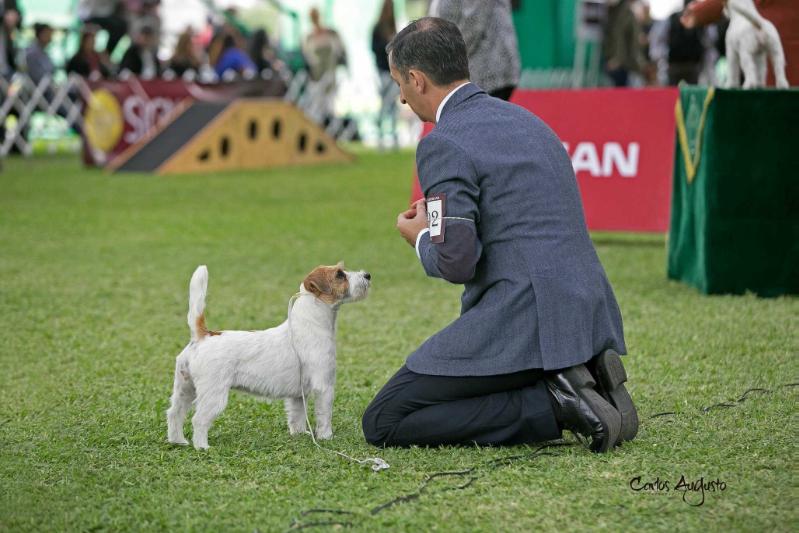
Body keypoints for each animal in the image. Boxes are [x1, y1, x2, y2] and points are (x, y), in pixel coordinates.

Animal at [168, 262, 372, 448]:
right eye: (340, 275)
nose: (367, 275)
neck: (310, 323)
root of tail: (202, 336)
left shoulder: (298, 395)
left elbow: (297, 416)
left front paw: (299, 434)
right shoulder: (324, 386)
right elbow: (324, 415)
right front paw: (326, 437)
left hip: (185, 388)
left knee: (174, 413)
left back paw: (178, 441)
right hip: (213, 394)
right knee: (198, 419)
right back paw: (202, 446)